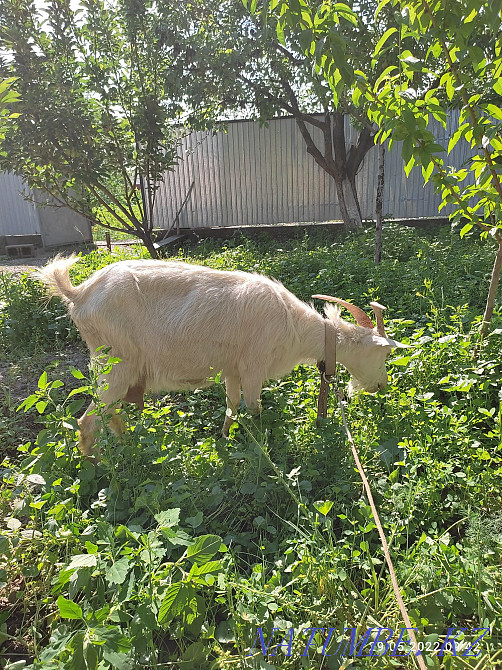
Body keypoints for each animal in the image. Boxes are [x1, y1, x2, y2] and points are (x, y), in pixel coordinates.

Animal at [37, 256, 404, 458]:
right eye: (384, 353)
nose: (382, 387)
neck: (293, 326)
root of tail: (79, 294)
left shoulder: (232, 370)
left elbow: (232, 406)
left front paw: (225, 440)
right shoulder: (253, 368)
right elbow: (254, 408)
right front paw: (262, 448)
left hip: (114, 369)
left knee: (109, 414)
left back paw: (127, 449)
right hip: (116, 363)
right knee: (87, 422)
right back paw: (99, 470)